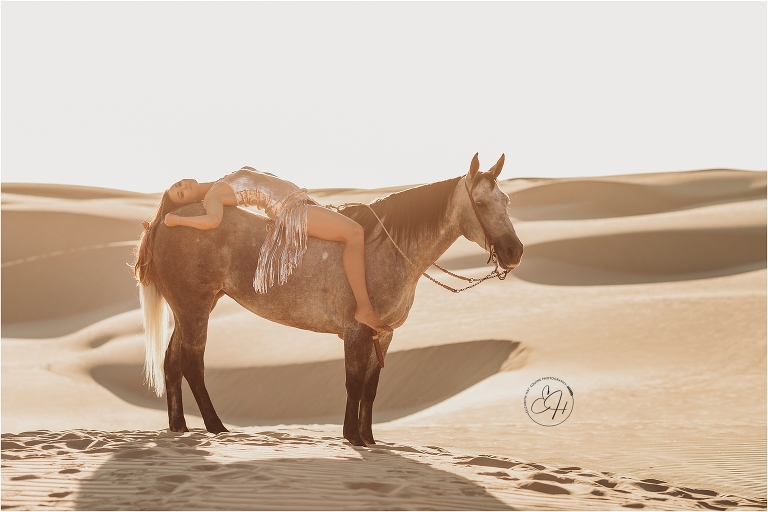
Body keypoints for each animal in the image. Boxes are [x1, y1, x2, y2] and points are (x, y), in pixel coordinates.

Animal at [139, 153, 523, 446]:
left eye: (506, 201)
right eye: (480, 202)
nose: (514, 252)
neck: (385, 249)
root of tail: (167, 222)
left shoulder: (384, 335)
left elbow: (370, 388)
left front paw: (368, 439)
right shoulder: (356, 332)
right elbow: (354, 382)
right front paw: (352, 437)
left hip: (189, 309)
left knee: (172, 363)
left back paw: (180, 428)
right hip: (194, 309)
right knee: (192, 365)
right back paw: (216, 427)